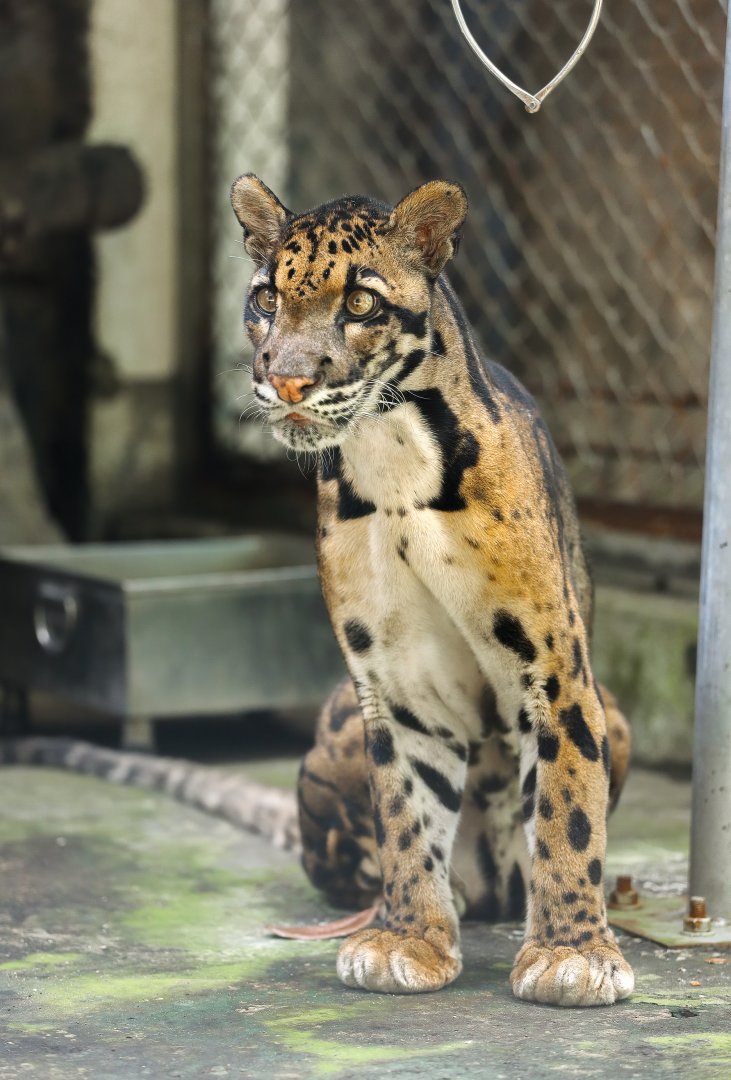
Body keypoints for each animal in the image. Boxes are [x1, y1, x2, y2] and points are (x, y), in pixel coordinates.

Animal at [230, 172, 635, 1006]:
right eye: (265, 298)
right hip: (336, 729)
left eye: (359, 303)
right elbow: (404, 812)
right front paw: (407, 939)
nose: (285, 377)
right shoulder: (393, 679)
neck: (390, 457)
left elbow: (567, 805)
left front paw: (572, 953)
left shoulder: (554, 662)